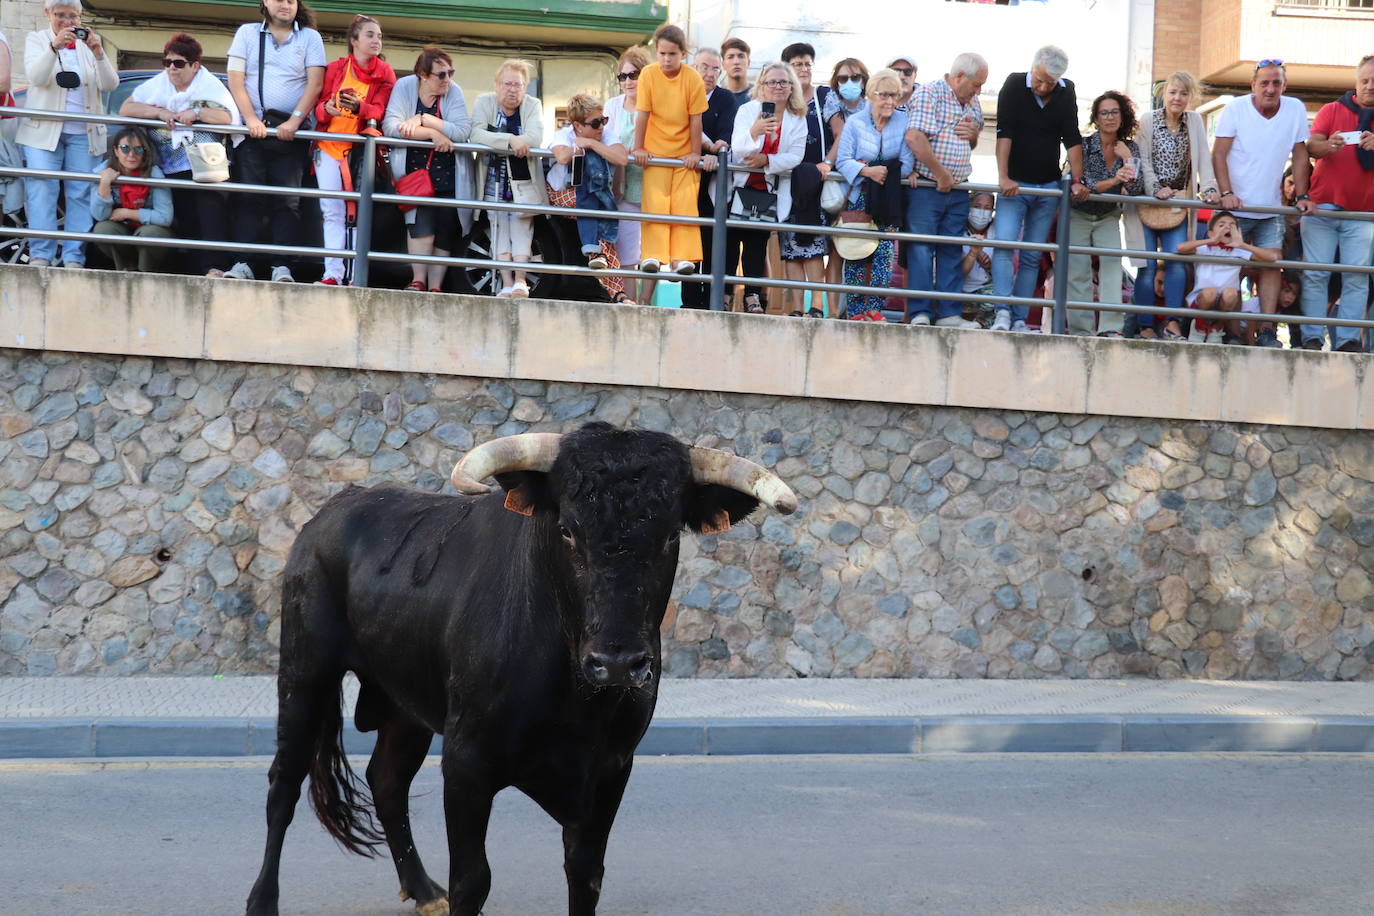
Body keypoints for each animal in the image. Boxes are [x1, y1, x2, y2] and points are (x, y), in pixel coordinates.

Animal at [247, 425, 802, 916]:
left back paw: (423, 890)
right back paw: (262, 901)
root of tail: (336, 508)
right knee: (284, 785)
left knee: (386, 781)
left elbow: (585, 873)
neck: (577, 701)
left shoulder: (611, 769)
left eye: (669, 536)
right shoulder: (466, 764)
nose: (617, 663)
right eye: (568, 530)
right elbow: (473, 881)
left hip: (405, 704)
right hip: (304, 672)